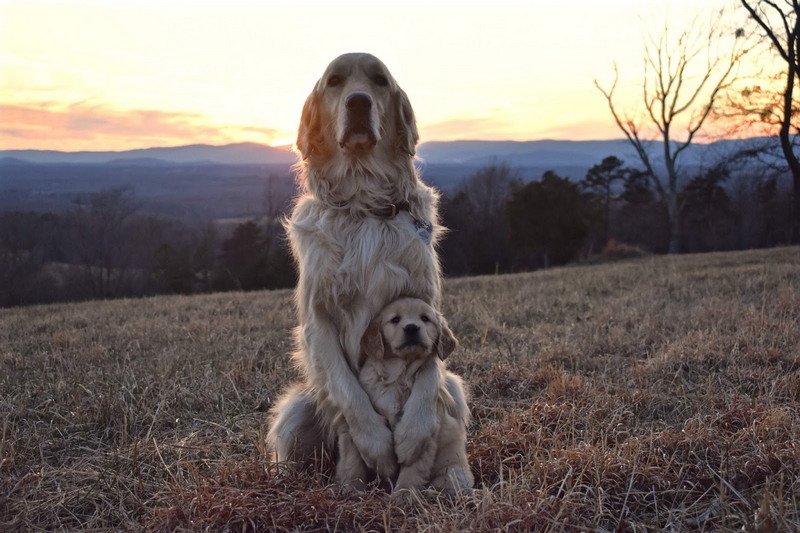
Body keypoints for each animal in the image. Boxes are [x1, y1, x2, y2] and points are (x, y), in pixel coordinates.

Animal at [268, 53, 444, 478]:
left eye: (380, 81)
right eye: (334, 82)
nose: (359, 102)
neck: (364, 202)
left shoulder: (427, 302)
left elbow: (430, 373)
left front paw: (413, 433)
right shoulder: (318, 320)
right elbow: (346, 389)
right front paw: (376, 445)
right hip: (297, 410)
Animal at [334, 296, 472, 498]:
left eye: (425, 318)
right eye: (395, 319)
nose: (412, 328)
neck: (397, 374)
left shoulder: (423, 439)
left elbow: (412, 471)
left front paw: (402, 498)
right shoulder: (352, 429)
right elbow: (352, 462)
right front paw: (350, 492)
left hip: (454, 472)